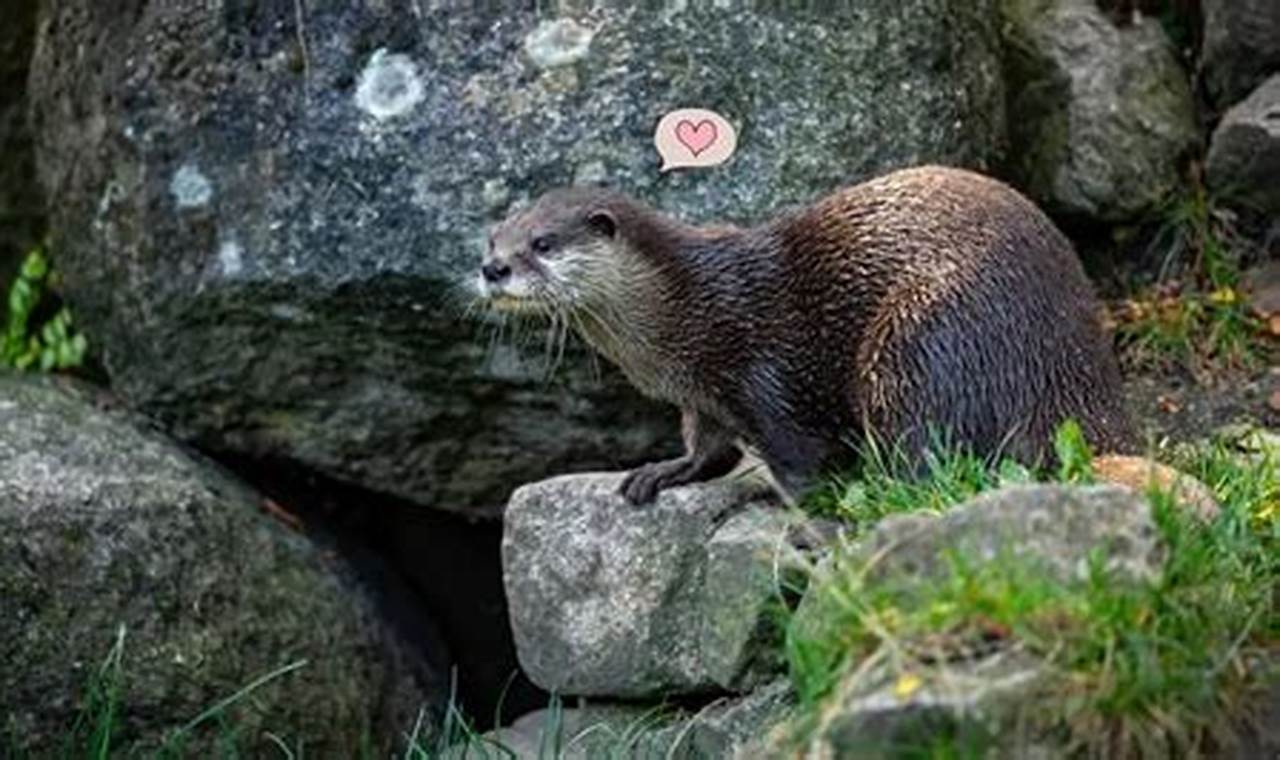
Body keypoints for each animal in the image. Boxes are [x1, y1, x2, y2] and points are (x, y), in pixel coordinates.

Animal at [476, 166, 1136, 504]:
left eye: (542, 243)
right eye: (493, 237)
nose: (492, 268)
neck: (686, 311)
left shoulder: (763, 370)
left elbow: (798, 457)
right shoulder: (703, 396)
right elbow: (710, 450)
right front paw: (664, 471)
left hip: (924, 336)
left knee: (930, 463)